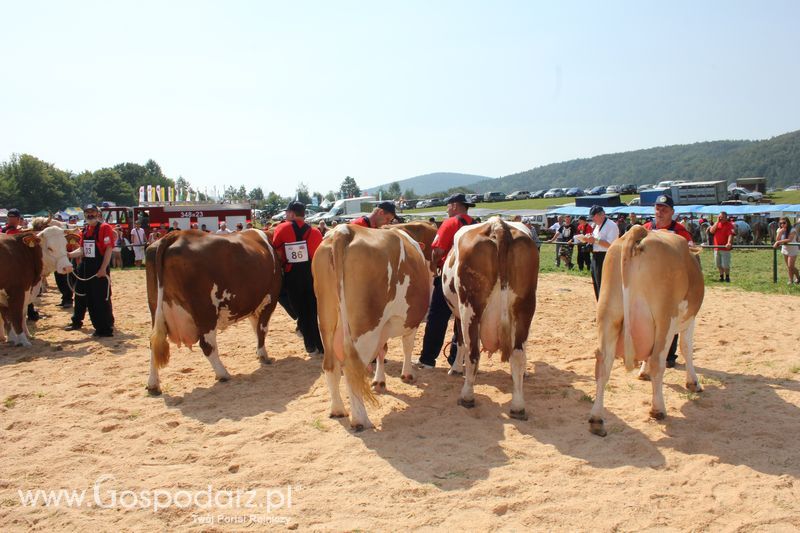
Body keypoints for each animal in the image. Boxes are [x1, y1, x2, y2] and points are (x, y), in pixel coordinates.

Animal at [146, 227, 282, 392]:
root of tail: (177, 235)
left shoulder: (254, 304)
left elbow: (255, 328)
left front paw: (259, 352)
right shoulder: (270, 299)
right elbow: (262, 329)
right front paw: (263, 355)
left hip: (156, 309)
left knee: (154, 344)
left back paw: (153, 384)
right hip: (206, 313)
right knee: (207, 345)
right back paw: (223, 374)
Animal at [312, 222, 438, 430]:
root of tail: (344, 231)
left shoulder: (384, 326)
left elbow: (382, 350)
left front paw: (379, 381)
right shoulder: (411, 321)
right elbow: (407, 346)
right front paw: (407, 375)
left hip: (326, 321)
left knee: (330, 365)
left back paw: (338, 410)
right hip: (366, 329)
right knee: (352, 370)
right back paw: (360, 420)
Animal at [444, 216, 536, 420]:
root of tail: (498, 225)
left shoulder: (458, 315)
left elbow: (459, 342)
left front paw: (455, 368)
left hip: (470, 308)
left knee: (472, 352)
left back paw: (467, 396)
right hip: (526, 306)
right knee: (518, 354)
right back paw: (518, 406)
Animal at [588, 224, 708, 436]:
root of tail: (637, 232)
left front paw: (643, 373)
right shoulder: (689, 318)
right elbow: (686, 348)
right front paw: (693, 383)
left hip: (607, 314)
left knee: (603, 362)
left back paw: (596, 419)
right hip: (665, 319)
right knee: (658, 360)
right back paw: (658, 409)